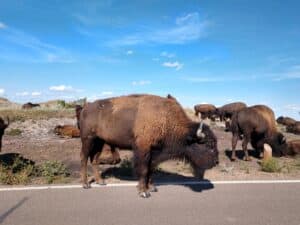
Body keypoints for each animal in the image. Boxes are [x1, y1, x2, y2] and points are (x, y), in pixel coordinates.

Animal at [81, 94, 219, 198]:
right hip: (88, 139)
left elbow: (151, 169)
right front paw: (143, 192)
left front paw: (152, 187)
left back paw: (100, 181)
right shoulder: (143, 149)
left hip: (100, 141)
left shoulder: (155, 152)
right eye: (208, 144)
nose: (216, 162)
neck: (166, 119)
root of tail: (85, 108)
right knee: (84, 158)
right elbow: (143, 169)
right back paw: (86, 184)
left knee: (94, 159)